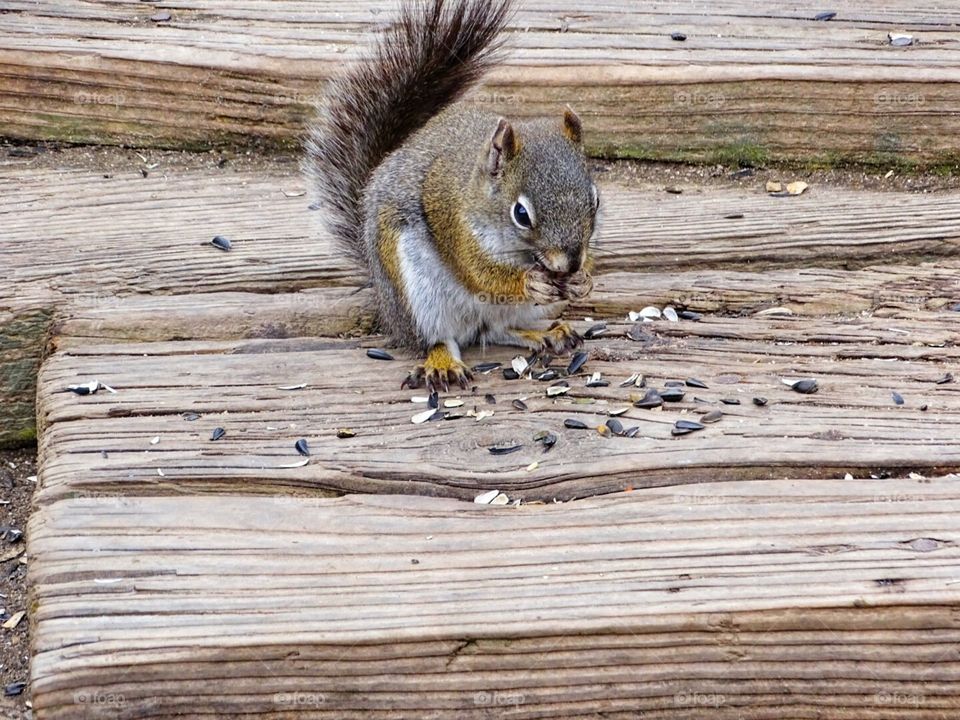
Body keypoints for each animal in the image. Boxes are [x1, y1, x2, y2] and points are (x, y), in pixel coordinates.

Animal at [308, 0, 596, 394]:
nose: (570, 263)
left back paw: (546, 333)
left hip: (520, 311)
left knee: (499, 329)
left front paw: (585, 279)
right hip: (419, 296)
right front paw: (528, 282)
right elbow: (477, 272)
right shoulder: (453, 221)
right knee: (437, 338)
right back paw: (443, 363)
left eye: (595, 200)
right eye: (521, 214)